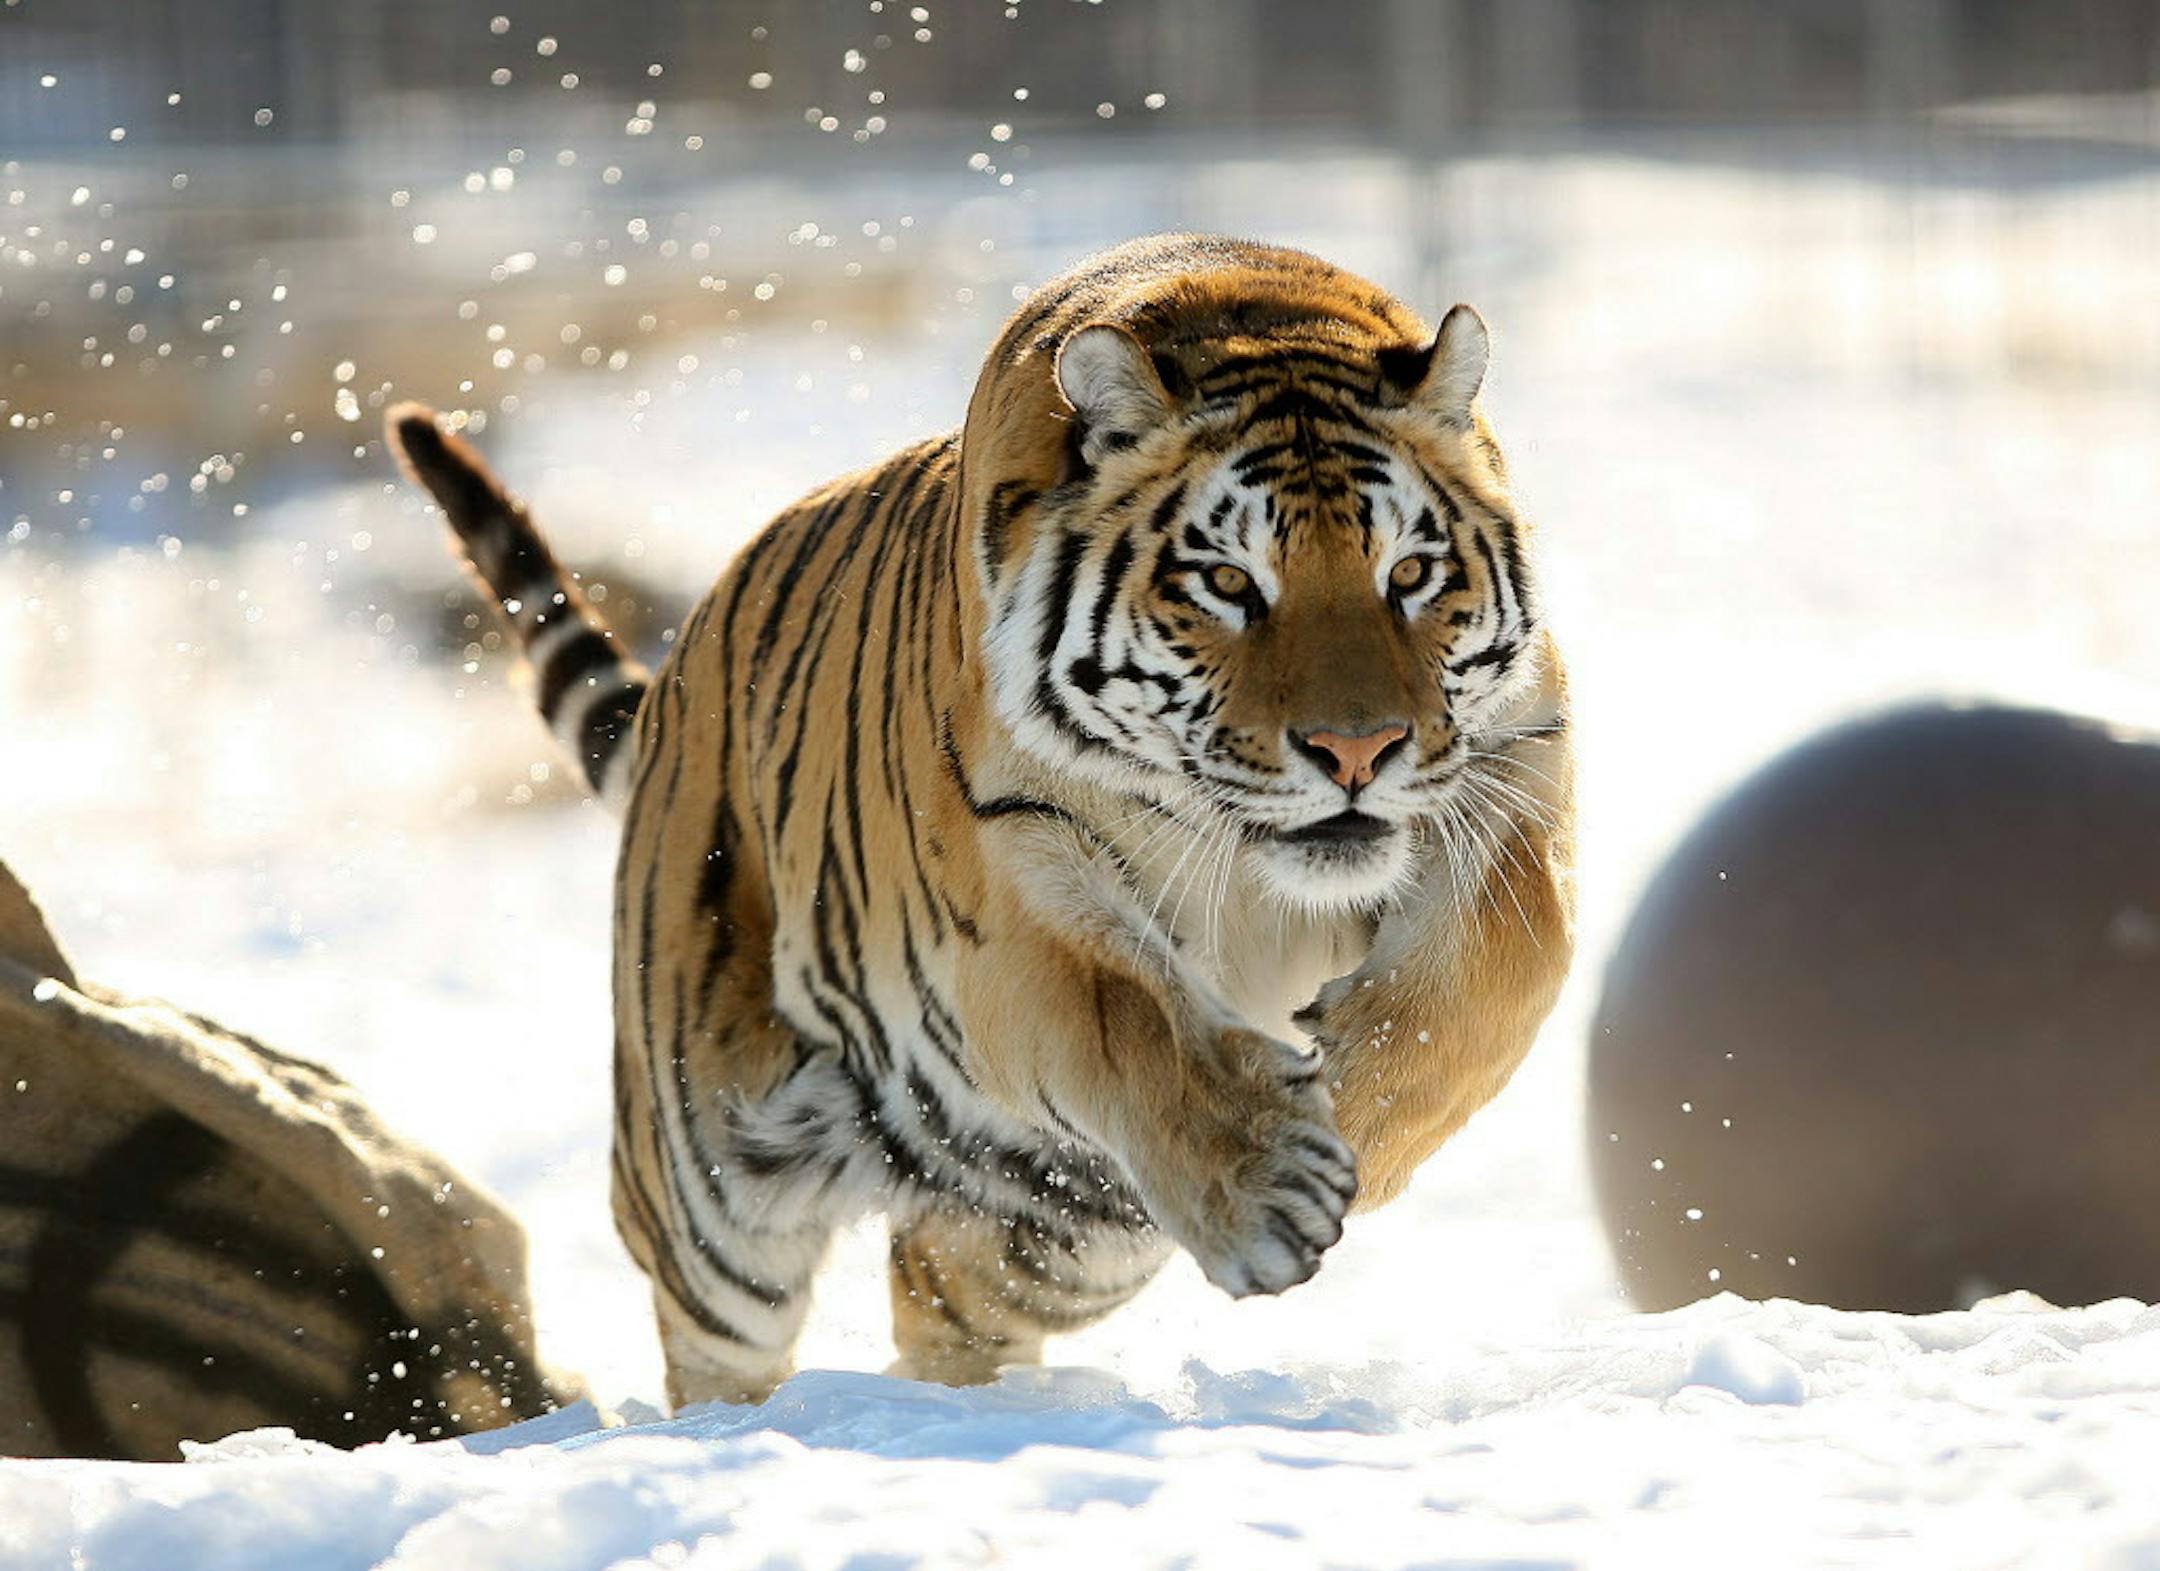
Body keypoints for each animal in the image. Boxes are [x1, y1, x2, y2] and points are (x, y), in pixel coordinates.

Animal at [387, 232, 1575, 1408]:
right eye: (1230, 583)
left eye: (1409, 571)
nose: (1357, 752)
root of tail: (682, 672)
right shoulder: (1002, 875)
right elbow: (1124, 1012)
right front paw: (1271, 1182)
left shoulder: (1516, 764)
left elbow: (1501, 969)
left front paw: (1355, 1108)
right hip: (709, 1182)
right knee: (725, 1338)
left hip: (1052, 1232)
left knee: (947, 1282)